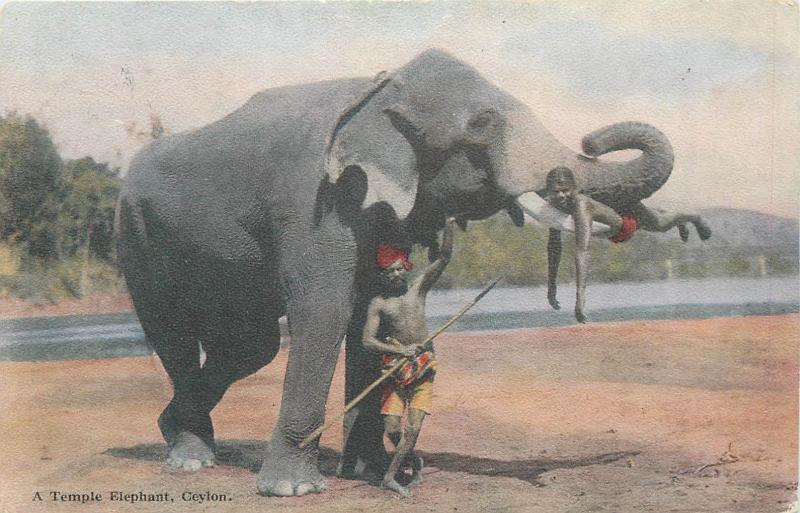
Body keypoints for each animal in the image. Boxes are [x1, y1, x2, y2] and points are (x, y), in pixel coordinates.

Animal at [115, 49, 684, 496]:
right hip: (135, 238)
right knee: (175, 330)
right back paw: (190, 458)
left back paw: (179, 433)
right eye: (481, 125)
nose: (590, 141)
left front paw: (364, 474)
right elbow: (325, 311)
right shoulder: (313, 203)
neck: (379, 88)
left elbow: (364, 308)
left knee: (252, 346)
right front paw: (294, 490)